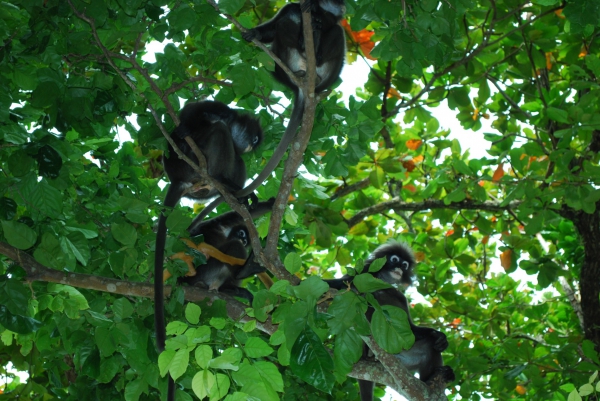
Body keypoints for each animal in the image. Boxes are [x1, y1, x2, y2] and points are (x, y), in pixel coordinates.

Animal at [195, 0, 346, 222]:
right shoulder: (288, 8)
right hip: (282, 65)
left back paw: (316, 50)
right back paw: (304, 46)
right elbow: (273, 28)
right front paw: (254, 33)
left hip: (330, 71)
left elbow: (334, 20)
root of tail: (302, 86)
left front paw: (317, 14)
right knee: (284, 26)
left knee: (337, 31)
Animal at [326, 242, 452, 398]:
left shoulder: (400, 296)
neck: (381, 281)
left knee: (430, 347)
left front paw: (440, 336)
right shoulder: (360, 274)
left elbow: (410, 328)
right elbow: (336, 285)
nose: (399, 268)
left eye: (404, 265)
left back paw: (433, 379)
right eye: (394, 259)